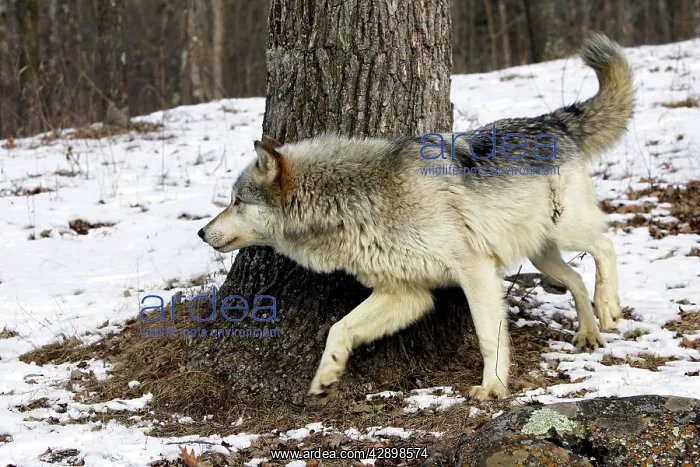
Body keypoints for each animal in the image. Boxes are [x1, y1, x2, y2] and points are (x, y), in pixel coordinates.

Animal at [198, 33, 634, 401]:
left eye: (236, 201)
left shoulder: (474, 270)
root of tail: (552, 121)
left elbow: (488, 336)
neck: (356, 202)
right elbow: (339, 329)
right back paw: (589, 334)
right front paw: (326, 377)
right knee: (576, 277)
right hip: (542, 252)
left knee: (606, 246)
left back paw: (609, 307)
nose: (201, 232)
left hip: (566, 230)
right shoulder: (406, 293)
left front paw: (492, 387)